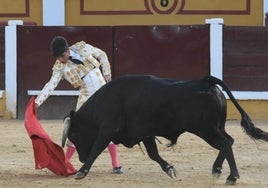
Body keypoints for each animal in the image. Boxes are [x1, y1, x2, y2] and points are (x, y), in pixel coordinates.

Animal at [64, 74, 268, 184]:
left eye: (74, 134)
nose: (80, 158)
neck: (106, 101)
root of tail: (205, 81)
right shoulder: (145, 133)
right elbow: (153, 154)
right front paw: (170, 169)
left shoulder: (107, 130)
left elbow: (96, 149)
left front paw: (81, 171)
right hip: (217, 126)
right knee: (229, 141)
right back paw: (217, 169)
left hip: (206, 129)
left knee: (225, 143)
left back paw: (232, 177)